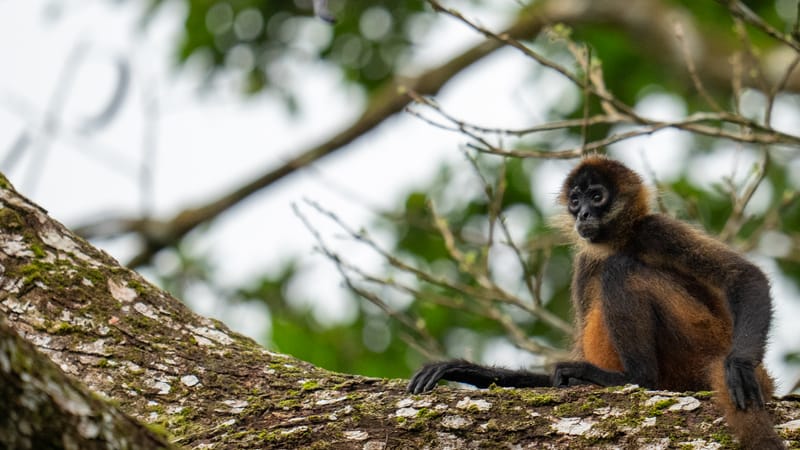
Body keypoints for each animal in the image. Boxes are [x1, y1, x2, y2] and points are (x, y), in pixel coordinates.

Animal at [410, 156, 784, 450]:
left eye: (597, 196)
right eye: (575, 200)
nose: (584, 216)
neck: (621, 240)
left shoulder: (655, 228)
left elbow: (744, 276)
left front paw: (739, 365)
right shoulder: (585, 260)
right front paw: (463, 369)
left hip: (701, 335)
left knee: (620, 271)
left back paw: (638, 377)